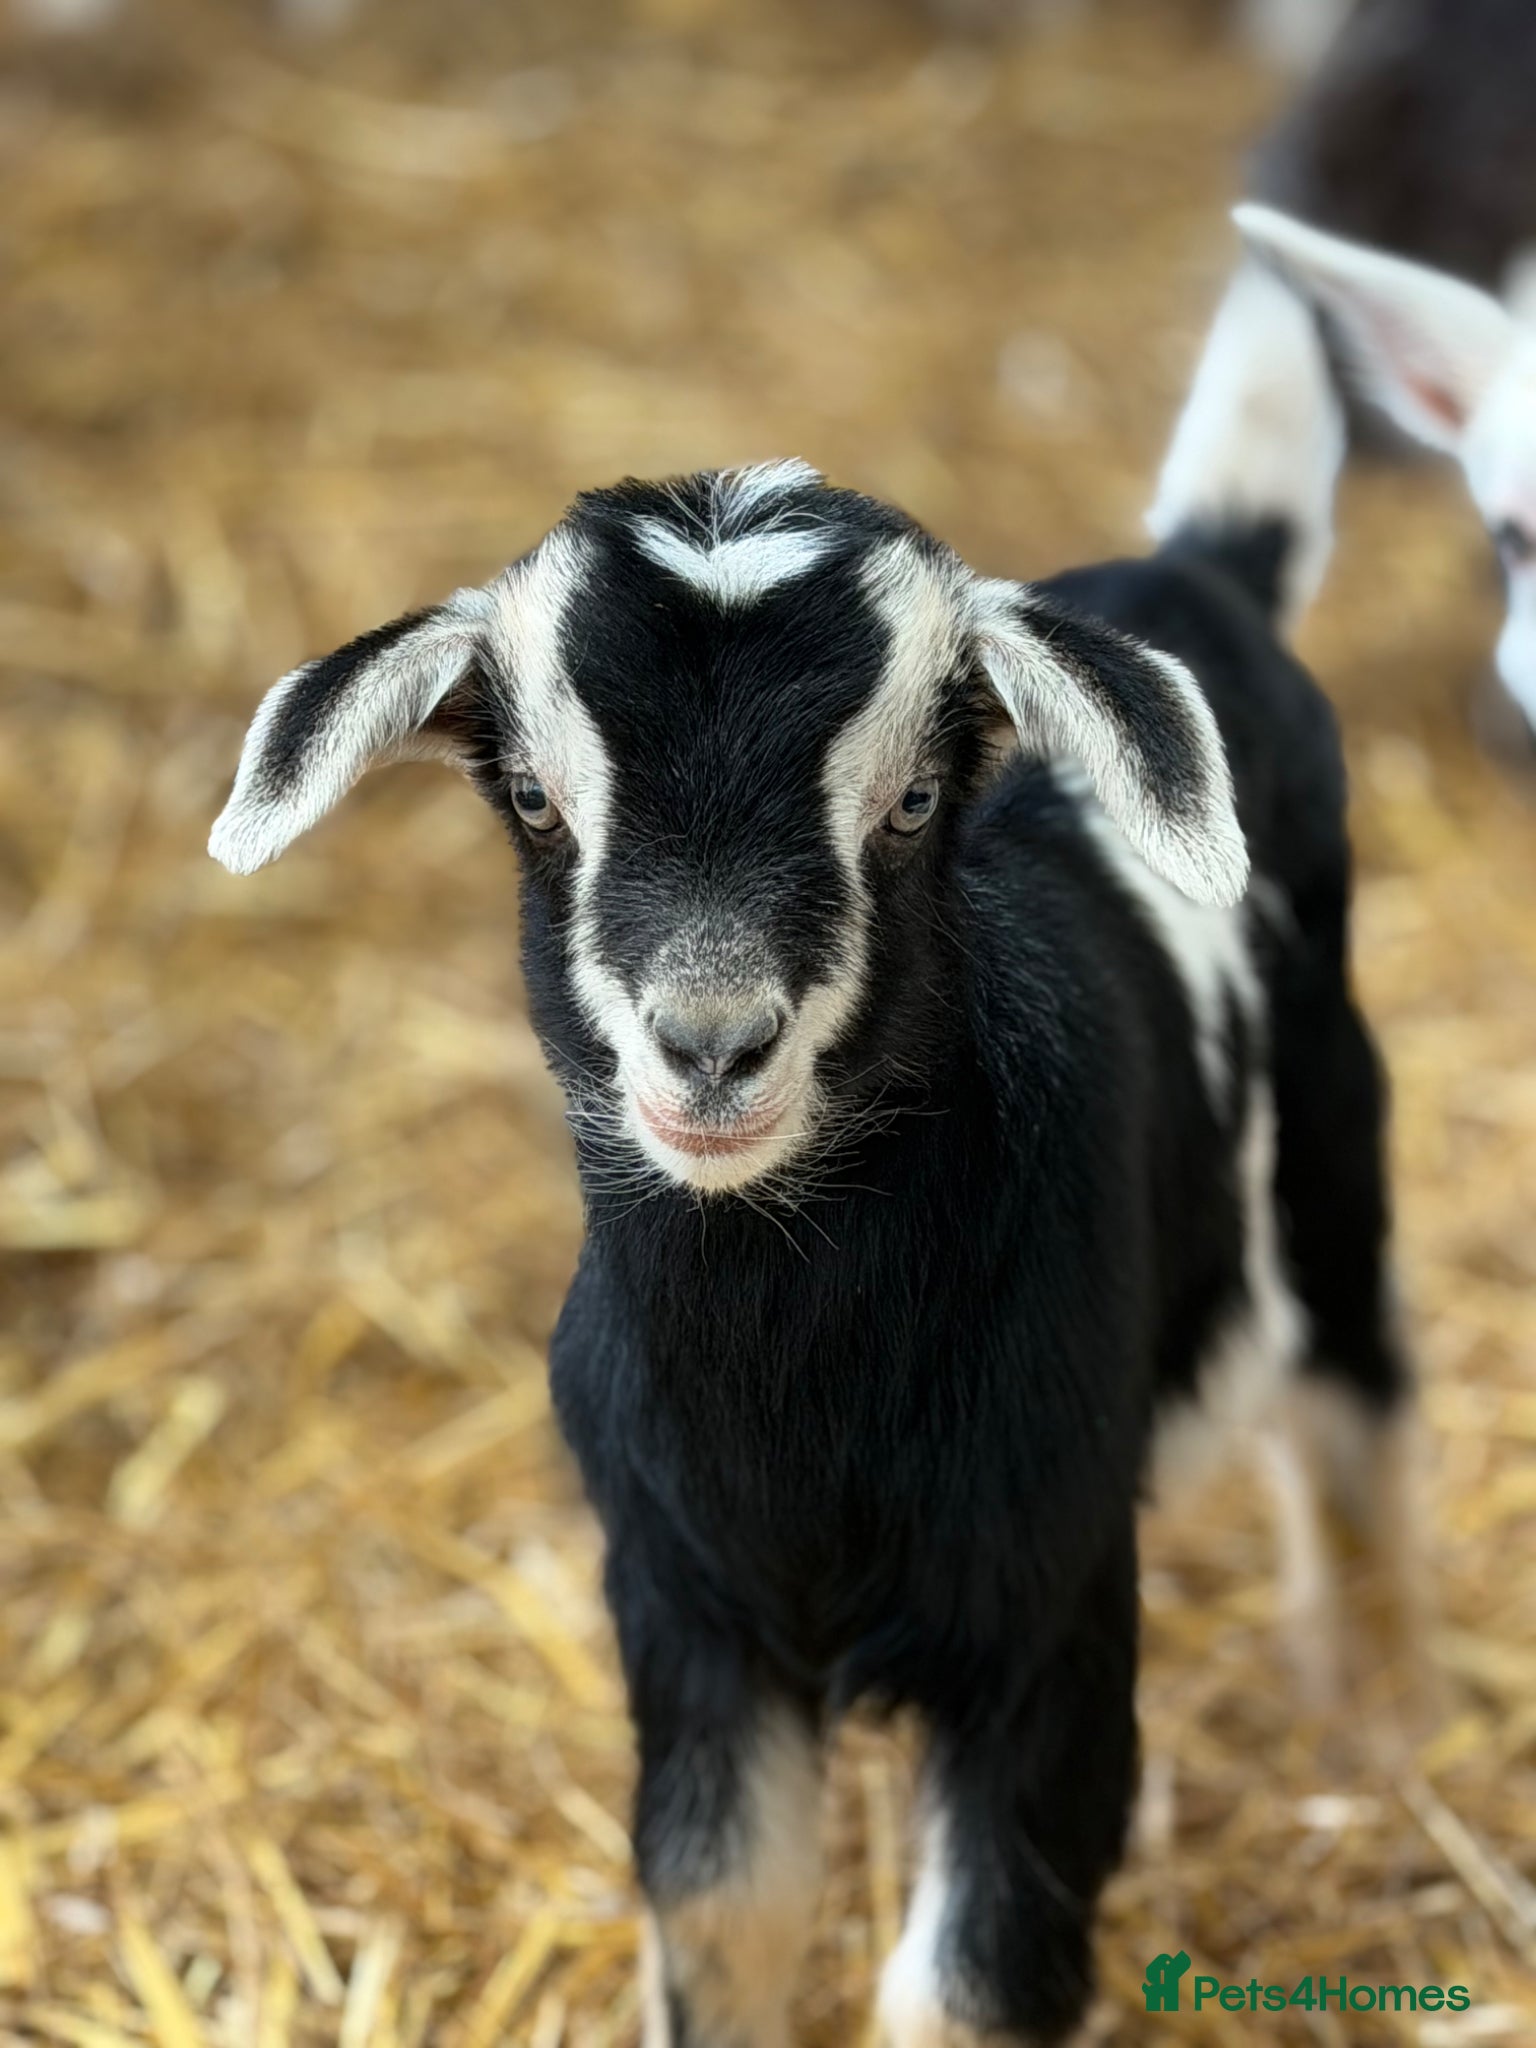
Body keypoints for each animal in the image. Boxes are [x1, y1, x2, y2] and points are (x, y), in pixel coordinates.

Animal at [210, 269, 1411, 2046]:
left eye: (912, 803)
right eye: (535, 802)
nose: (712, 1044)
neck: (798, 1371)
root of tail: (1198, 570)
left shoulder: (1044, 1611)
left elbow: (968, 1976)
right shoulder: (687, 1609)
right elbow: (722, 1916)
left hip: (1332, 1141)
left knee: (1355, 1422)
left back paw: (1384, 1741)